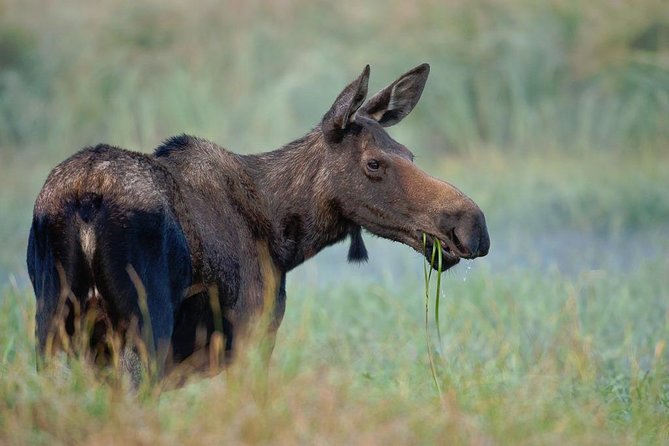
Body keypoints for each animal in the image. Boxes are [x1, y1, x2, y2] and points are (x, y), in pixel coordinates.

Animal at [26, 64, 488, 382]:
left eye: (410, 154)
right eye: (374, 162)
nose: (473, 226)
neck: (286, 237)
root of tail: (86, 197)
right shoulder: (253, 332)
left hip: (54, 324)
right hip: (141, 327)